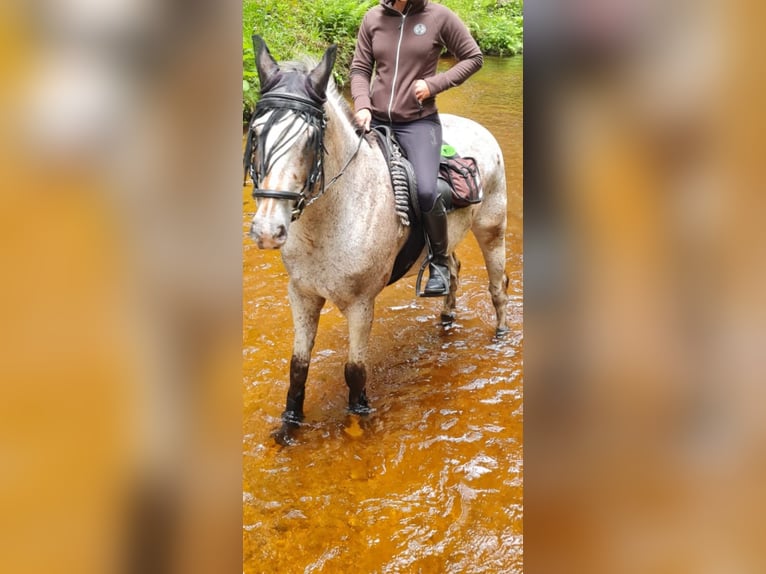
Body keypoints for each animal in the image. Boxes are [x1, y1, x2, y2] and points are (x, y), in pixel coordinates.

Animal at [246, 37, 510, 446]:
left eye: (310, 139)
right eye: (256, 133)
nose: (267, 230)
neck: (332, 218)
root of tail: (479, 129)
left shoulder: (360, 303)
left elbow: (355, 371)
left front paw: (358, 423)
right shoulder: (302, 295)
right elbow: (298, 367)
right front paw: (288, 427)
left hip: (492, 230)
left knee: (497, 286)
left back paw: (499, 335)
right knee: (451, 268)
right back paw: (446, 317)